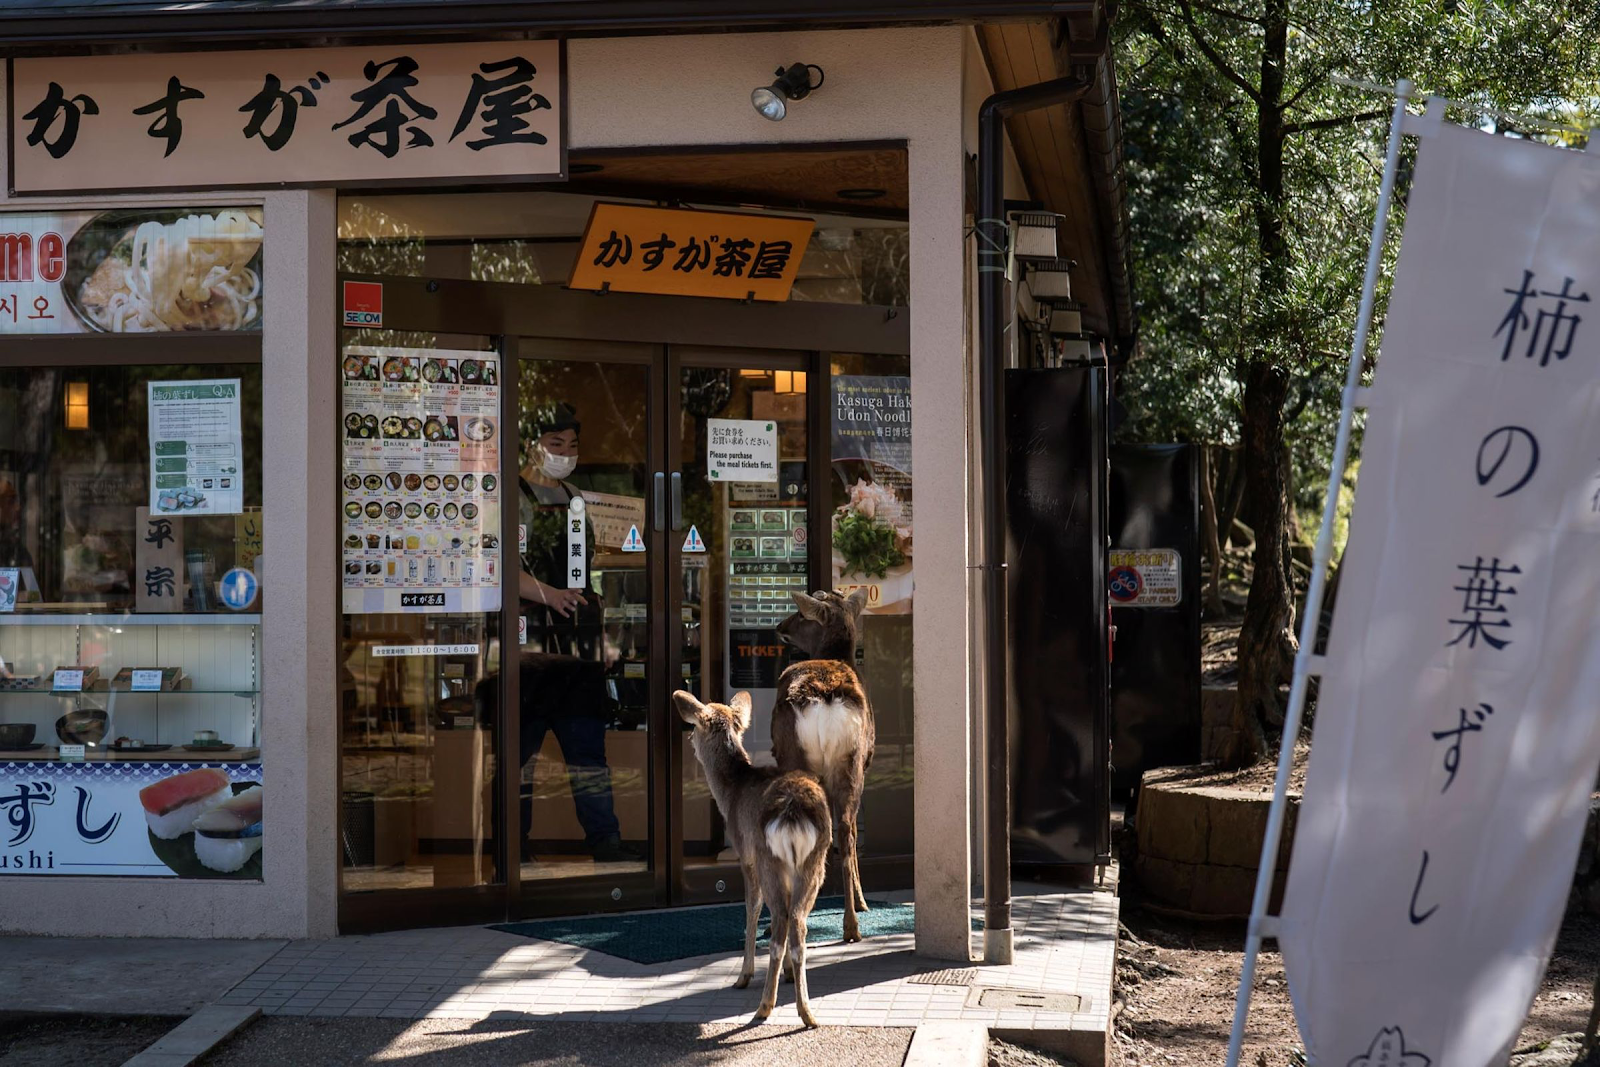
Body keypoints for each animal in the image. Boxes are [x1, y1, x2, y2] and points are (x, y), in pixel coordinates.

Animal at [672, 687, 832, 1030]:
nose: (689, 740)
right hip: (814, 861)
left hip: (768, 856)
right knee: (796, 921)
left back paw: (765, 1006)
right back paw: (807, 1012)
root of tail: (793, 811)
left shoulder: (745, 855)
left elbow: (751, 909)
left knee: (781, 917)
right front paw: (788, 975)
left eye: (695, 727)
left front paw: (743, 976)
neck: (730, 795)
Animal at [774, 588, 876, 947]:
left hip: (796, 757)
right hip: (850, 761)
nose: (779, 626)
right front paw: (861, 901)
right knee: (844, 830)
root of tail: (825, 699)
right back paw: (852, 925)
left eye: (800, 615)